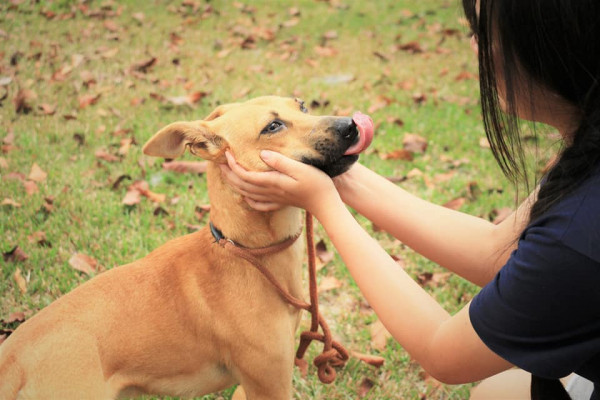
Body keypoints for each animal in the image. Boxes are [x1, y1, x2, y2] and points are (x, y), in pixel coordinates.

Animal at [0, 97, 372, 400]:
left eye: (302, 106)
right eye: (272, 126)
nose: (351, 125)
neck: (246, 254)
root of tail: (12, 361)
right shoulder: (270, 383)